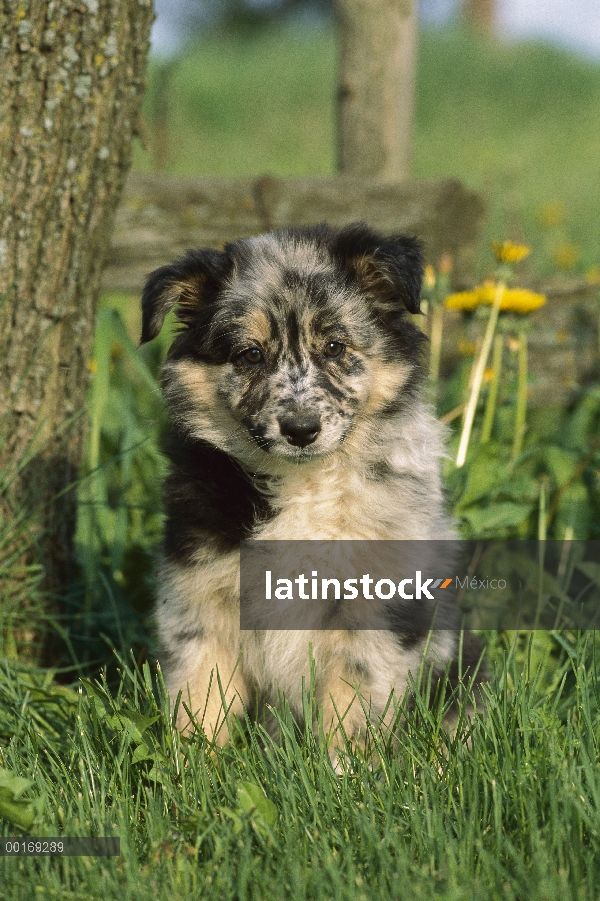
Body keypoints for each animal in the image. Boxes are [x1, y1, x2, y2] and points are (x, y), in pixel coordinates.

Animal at [142, 221, 482, 748]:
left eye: (335, 347)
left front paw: (341, 770)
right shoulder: (199, 605)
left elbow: (350, 714)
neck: (304, 484)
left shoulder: (372, 617)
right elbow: (200, 705)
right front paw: (193, 765)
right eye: (250, 355)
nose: (300, 430)